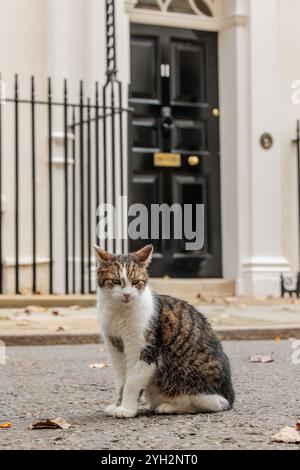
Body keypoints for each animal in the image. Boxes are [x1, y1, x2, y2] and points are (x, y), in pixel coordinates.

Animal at [94, 244, 234, 416]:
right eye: (115, 281)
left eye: (136, 282)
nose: (127, 295)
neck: (119, 312)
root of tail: (229, 397)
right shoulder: (116, 348)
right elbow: (121, 381)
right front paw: (117, 405)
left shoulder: (145, 351)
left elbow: (132, 382)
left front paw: (127, 409)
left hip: (192, 379)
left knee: (207, 403)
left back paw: (168, 407)